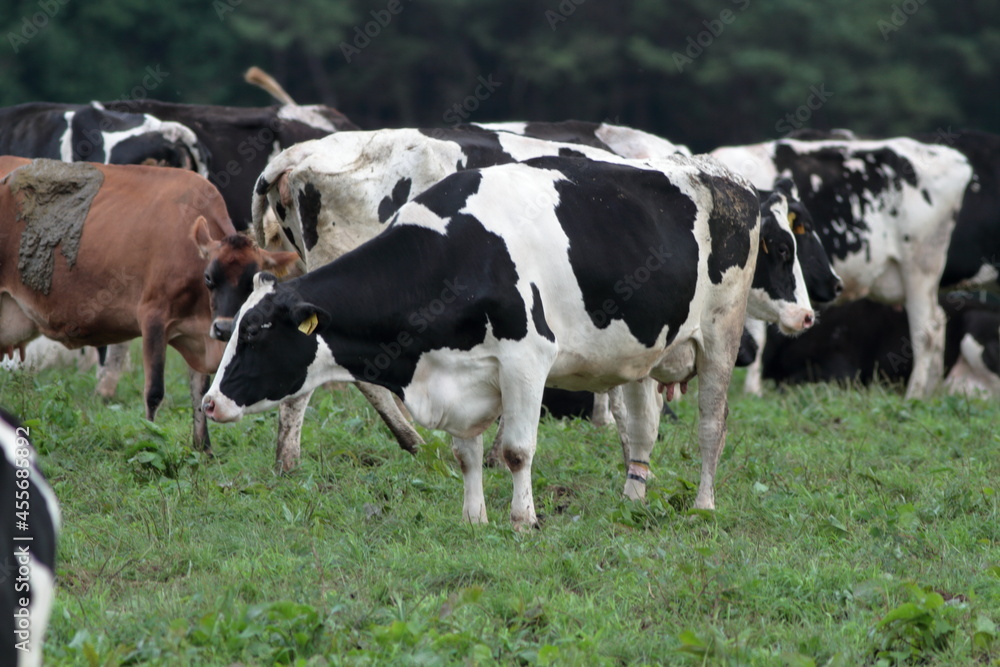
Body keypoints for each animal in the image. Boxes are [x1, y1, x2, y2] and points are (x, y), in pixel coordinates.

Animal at [0, 157, 235, 448]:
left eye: (253, 280)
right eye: (209, 278)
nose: (225, 328)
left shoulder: (198, 333)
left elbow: (199, 393)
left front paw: (203, 448)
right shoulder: (154, 318)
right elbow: (154, 392)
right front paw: (150, 439)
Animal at [203, 157, 812, 528]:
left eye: (255, 333)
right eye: (232, 330)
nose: (210, 402)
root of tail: (727, 178)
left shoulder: (527, 358)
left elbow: (518, 449)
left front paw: (523, 520)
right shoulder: (463, 373)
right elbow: (465, 452)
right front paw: (474, 517)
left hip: (721, 332)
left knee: (712, 423)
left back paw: (704, 505)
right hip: (642, 353)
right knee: (642, 432)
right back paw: (631, 499)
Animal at [716, 135, 972, 396]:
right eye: (804, 229)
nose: (835, 283)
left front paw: (751, 391)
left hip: (920, 269)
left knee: (927, 329)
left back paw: (915, 395)